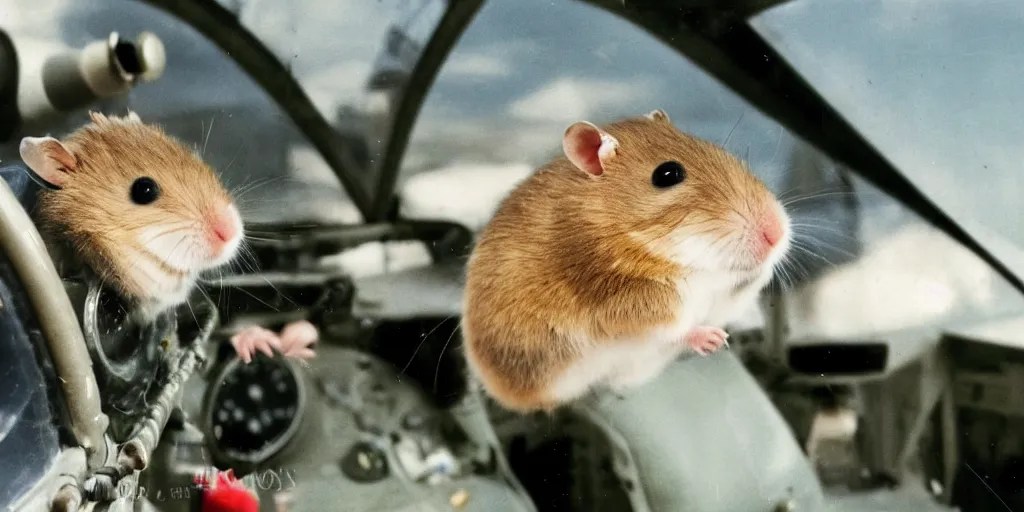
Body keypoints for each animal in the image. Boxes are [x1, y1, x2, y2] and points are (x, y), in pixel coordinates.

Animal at [461, 109, 791, 413]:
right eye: (667, 174)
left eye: (717, 150)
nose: (777, 232)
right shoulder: (627, 304)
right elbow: (673, 325)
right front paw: (713, 339)